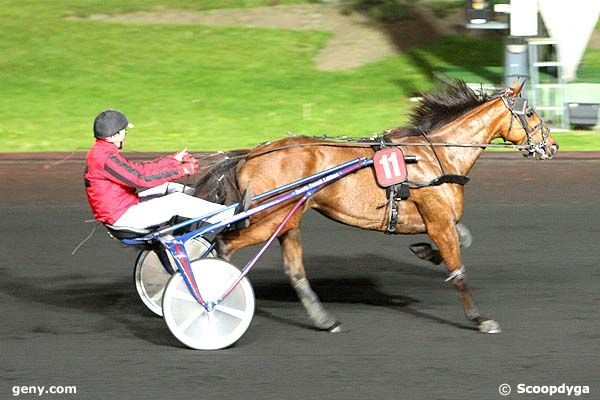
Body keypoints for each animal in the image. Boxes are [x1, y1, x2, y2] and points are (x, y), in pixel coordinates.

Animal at [196, 79, 556, 334]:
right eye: (531, 113)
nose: (552, 145)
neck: (435, 155)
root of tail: (250, 154)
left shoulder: (435, 218)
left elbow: (461, 238)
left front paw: (424, 251)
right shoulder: (438, 218)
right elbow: (458, 269)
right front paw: (480, 319)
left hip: (289, 220)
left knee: (295, 271)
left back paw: (325, 320)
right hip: (269, 218)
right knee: (225, 244)